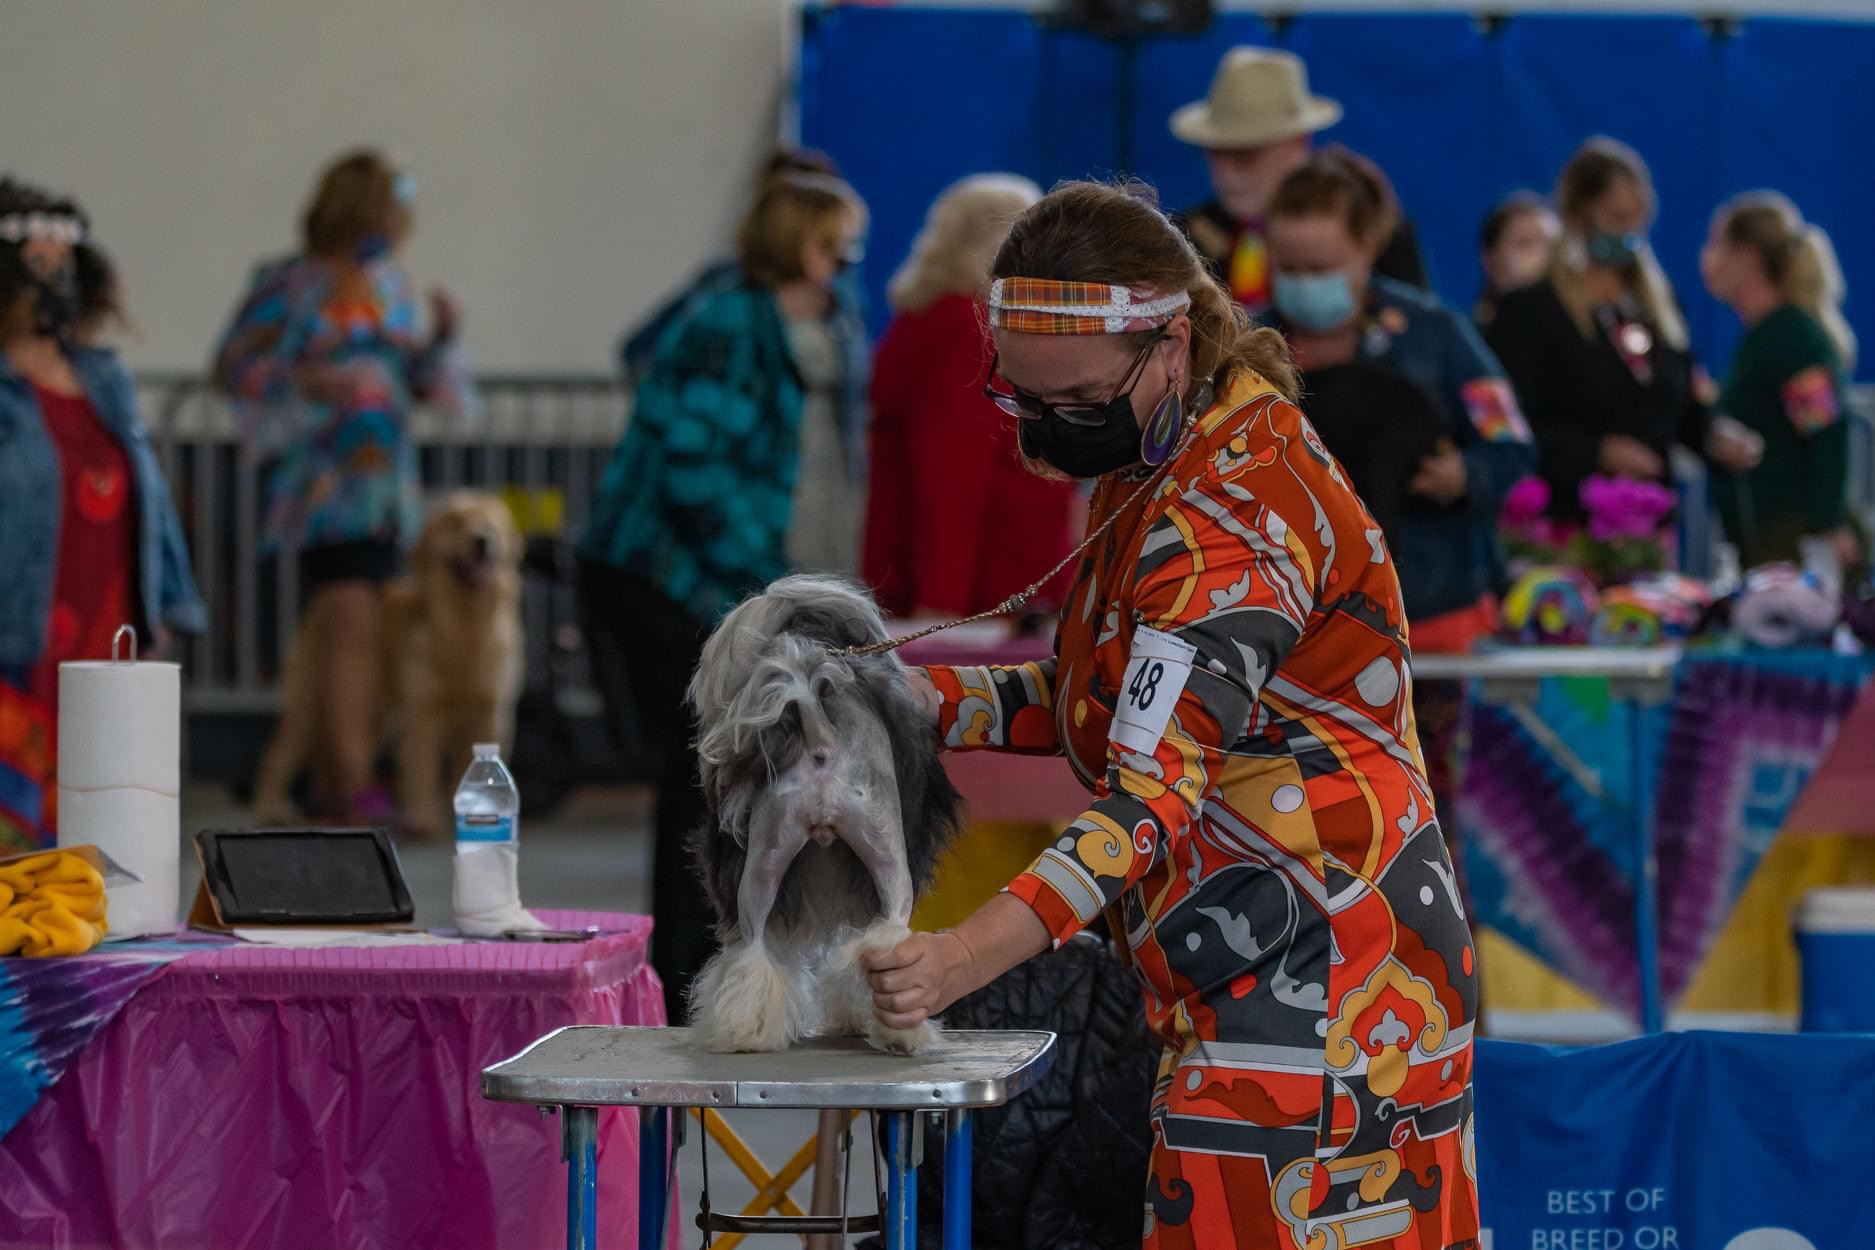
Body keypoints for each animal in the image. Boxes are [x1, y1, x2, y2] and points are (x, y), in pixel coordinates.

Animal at [252, 491, 525, 835]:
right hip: (310, 705)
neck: (464, 633)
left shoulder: (491, 716)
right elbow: (422, 771)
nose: (481, 540)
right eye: (454, 522)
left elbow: (456, 775)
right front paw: (425, 820)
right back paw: (274, 809)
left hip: (371, 716)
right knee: (276, 756)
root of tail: (319, 604)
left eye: (491, 524)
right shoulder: (423, 717)